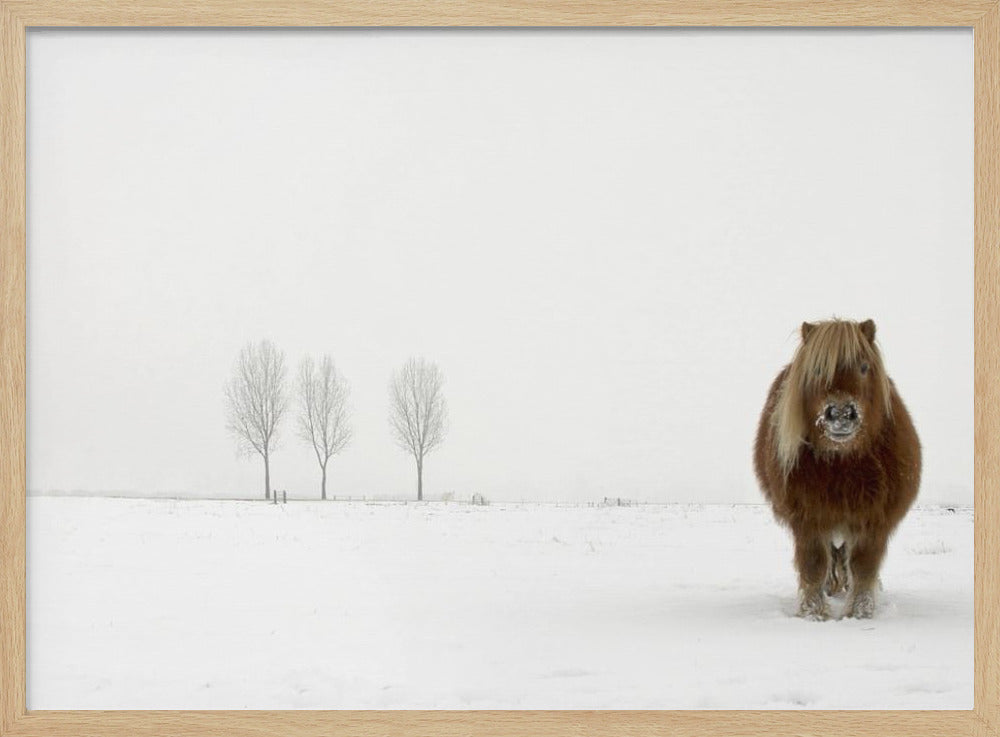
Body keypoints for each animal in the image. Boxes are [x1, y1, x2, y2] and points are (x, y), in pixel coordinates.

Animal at [753, 319, 921, 620]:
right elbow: (814, 566)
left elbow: (864, 567)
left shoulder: (873, 520)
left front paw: (860, 613)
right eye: (818, 369)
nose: (841, 414)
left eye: (864, 367)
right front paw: (813, 613)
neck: (843, 464)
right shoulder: (808, 520)